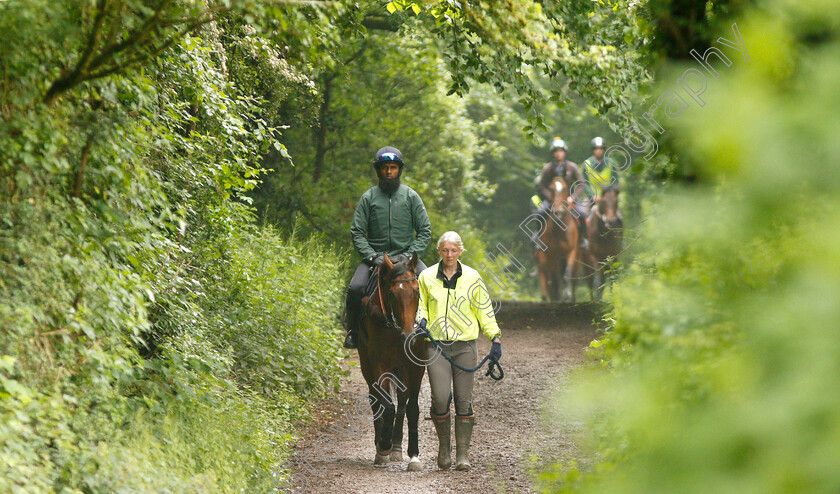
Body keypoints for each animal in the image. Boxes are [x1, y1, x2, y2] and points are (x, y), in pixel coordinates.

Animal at [358, 253, 426, 472]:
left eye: (416, 292)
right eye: (391, 293)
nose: (409, 335)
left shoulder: (417, 366)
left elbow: (412, 408)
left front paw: (414, 455)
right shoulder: (379, 363)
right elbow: (387, 406)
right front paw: (383, 445)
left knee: (402, 401)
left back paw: (396, 447)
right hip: (367, 364)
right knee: (375, 399)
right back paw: (382, 446)